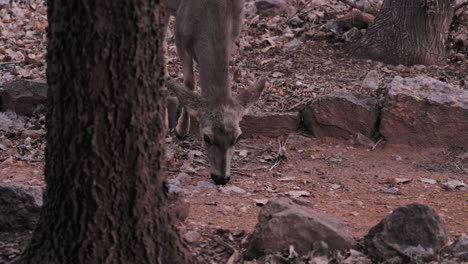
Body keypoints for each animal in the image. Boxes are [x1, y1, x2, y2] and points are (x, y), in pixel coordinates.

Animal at [166, 0, 266, 186]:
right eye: (206, 137)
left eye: (238, 137)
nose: (221, 178)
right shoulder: (180, 37)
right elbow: (189, 83)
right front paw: (181, 129)